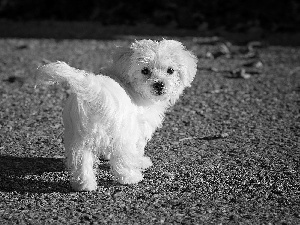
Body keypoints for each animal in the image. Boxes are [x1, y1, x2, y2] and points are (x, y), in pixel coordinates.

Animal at [36, 39, 198, 191]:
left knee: (81, 160)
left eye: (170, 70)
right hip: (122, 134)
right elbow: (137, 148)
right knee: (121, 159)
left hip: (79, 136)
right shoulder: (138, 128)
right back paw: (131, 177)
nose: (159, 84)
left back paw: (84, 185)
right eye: (145, 71)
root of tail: (97, 93)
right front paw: (141, 162)